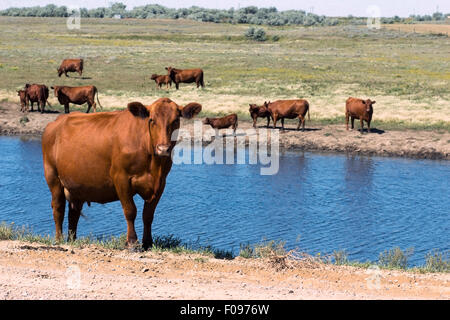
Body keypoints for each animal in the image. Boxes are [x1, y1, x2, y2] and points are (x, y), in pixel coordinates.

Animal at [41, 97, 200, 248]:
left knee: (73, 212)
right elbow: (130, 211)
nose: (163, 149)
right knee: (58, 207)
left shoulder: (160, 183)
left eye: (176, 120)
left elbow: (148, 215)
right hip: (53, 176)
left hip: (77, 185)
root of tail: (56, 122)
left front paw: (148, 242)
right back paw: (59, 239)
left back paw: (72, 240)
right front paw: (132, 242)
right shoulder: (121, 178)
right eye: (152, 120)